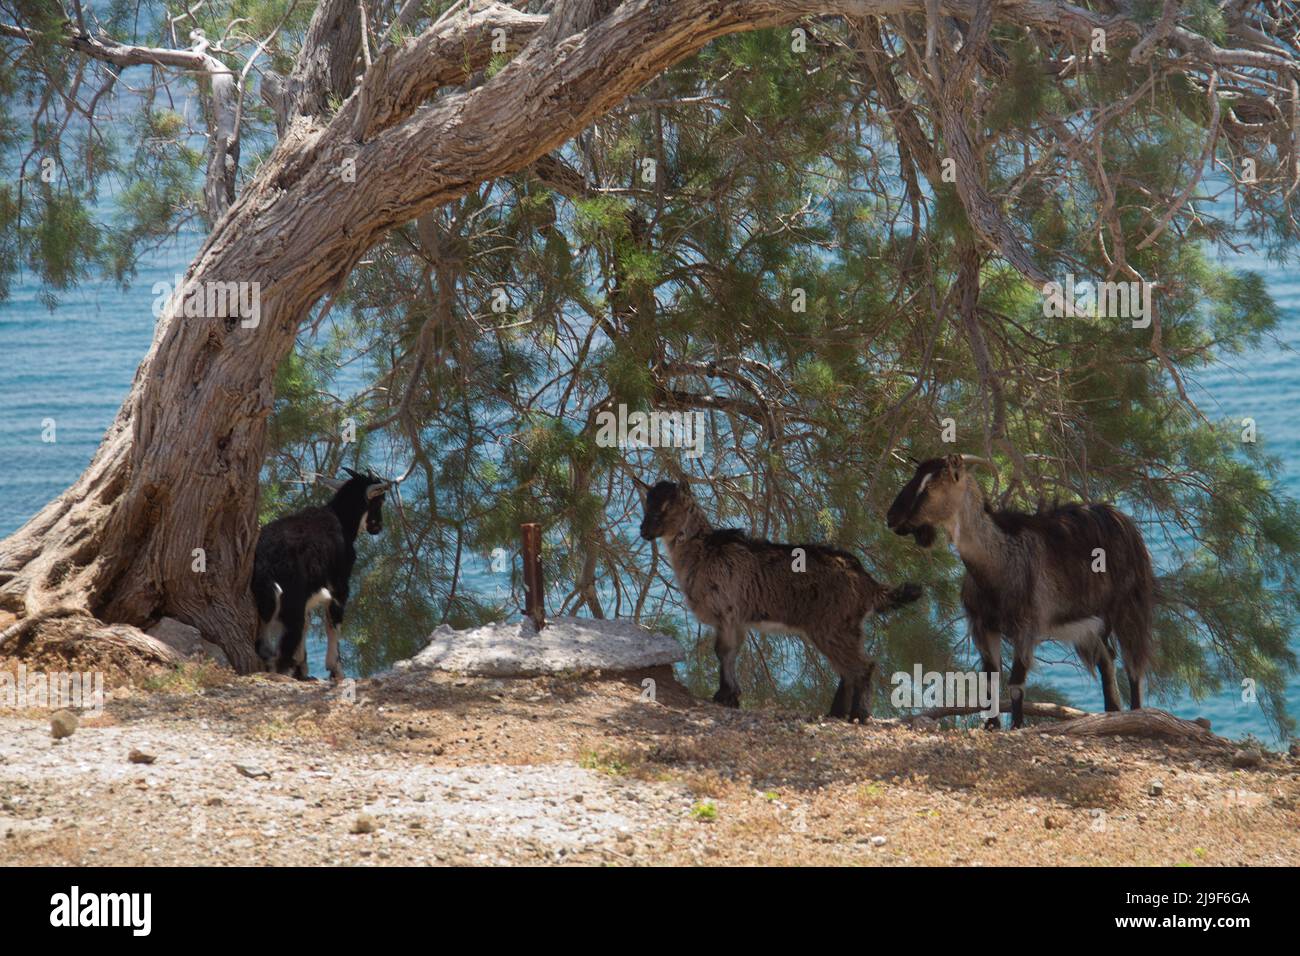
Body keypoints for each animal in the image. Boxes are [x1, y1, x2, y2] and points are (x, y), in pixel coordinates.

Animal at [250, 468, 387, 681]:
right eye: (380, 501)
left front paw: (302, 667)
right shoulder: (339, 585)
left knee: (267, 643)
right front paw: (336, 670)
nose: (378, 527)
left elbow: (307, 624)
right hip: (292, 598)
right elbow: (333, 624)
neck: (340, 519)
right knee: (286, 642)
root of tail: (267, 558)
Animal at [639, 481, 925, 723]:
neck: (705, 551)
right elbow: (731, 652)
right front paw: (731, 696)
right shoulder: (737, 619)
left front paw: (724, 696)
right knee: (847, 670)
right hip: (845, 628)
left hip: (833, 626)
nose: (643, 531)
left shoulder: (727, 612)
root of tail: (867, 582)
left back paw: (858, 715)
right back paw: (835, 713)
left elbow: (723, 651)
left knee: (863, 666)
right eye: (647, 504)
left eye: (666, 507)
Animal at [883, 455, 1159, 723]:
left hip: (1129, 605)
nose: (892, 518)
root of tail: (1119, 517)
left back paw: (1137, 714)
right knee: (1107, 659)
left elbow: (1016, 683)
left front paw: (1015, 725)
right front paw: (991, 726)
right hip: (1090, 623)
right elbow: (990, 680)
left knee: (1134, 665)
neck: (997, 563)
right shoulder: (983, 626)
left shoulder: (1027, 628)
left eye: (930, 486)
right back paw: (1112, 711)